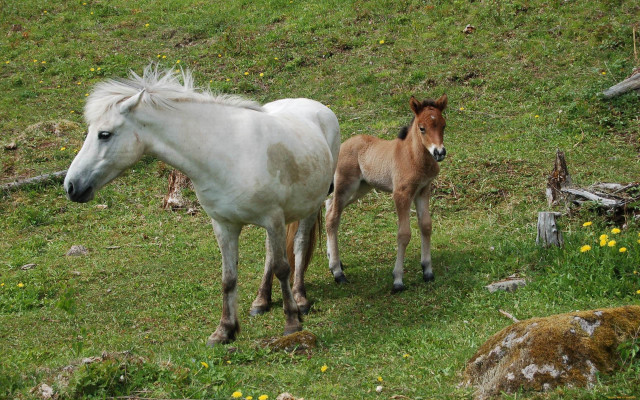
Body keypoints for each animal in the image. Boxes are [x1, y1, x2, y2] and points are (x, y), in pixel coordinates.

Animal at [64, 66, 340, 345]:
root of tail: (318, 108)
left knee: (299, 244)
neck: (225, 153)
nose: (71, 186)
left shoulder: (273, 219)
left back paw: (300, 298)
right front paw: (224, 330)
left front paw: (292, 323)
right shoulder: (224, 225)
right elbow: (229, 277)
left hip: (309, 206)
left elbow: (283, 268)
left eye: (104, 134)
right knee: (270, 254)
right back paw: (261, 301)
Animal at [325, 94, 447, 293]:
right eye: (422, 128)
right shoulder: (401, 194)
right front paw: (397, 280)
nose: (439, 152)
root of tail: (342, 145)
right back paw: (337, 272)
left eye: (443, 125)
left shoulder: (423, 190)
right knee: (332, 218)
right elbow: (403, 234)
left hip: (360, 188)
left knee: (329, 206)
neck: (412, 156)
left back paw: (334, 262)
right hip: (345, 185)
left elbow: (426, 226)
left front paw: (428, 271)